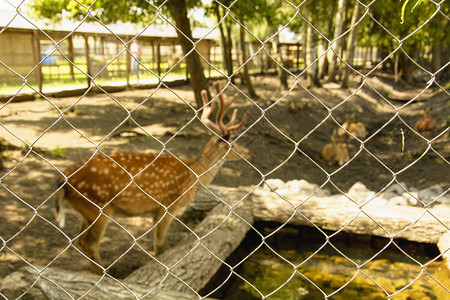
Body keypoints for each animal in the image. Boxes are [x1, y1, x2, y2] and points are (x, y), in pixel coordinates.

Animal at [56, 82, 250, 274]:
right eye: (231, 144)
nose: (247, 152)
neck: (192, 174)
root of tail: (63, 181)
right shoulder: (167, 205)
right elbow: (160, 246)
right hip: (98, 206)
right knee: (90, 244)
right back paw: (105, 275)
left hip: (86, 210)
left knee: (80, 240)